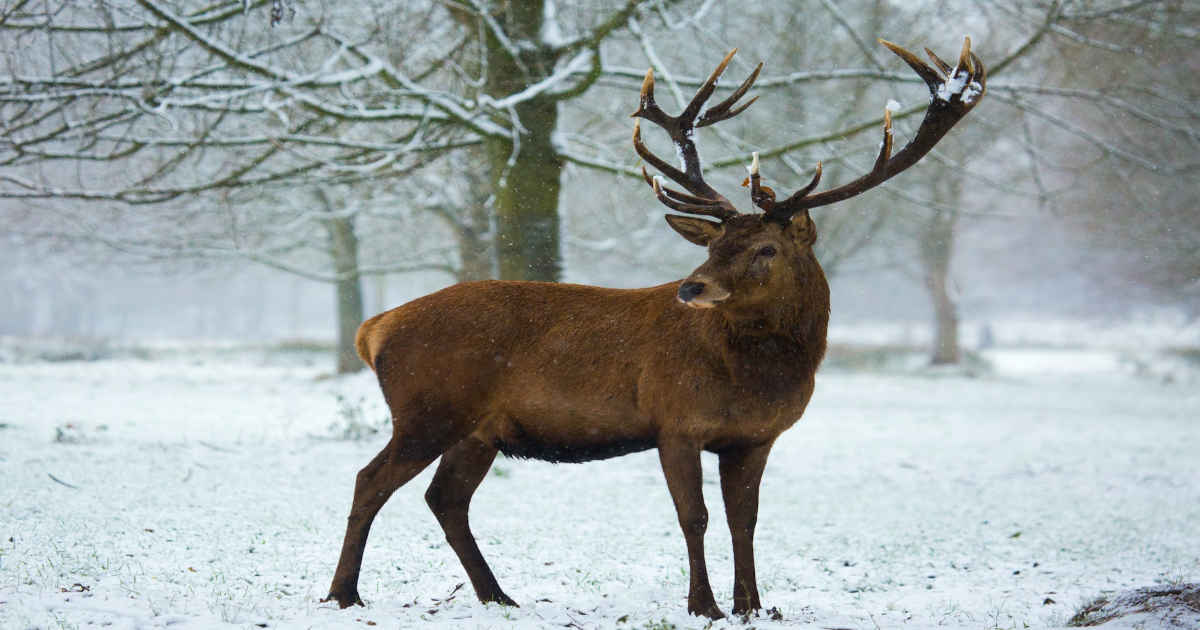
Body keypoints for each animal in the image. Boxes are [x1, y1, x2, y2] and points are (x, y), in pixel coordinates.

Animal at [324, 38, 986, 620]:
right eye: (715, 243)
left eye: (766, 248)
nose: (691, 288)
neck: (756, 377)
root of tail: (373, 328)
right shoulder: (676, 421)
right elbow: (695, 517)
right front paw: (705, 606)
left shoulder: (756, 437)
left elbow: (745, 519)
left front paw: (754, 605)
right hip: (426, 408)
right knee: (369, 480)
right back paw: (344, 594)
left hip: (478, 430)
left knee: (445, 498)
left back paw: (498, 597)